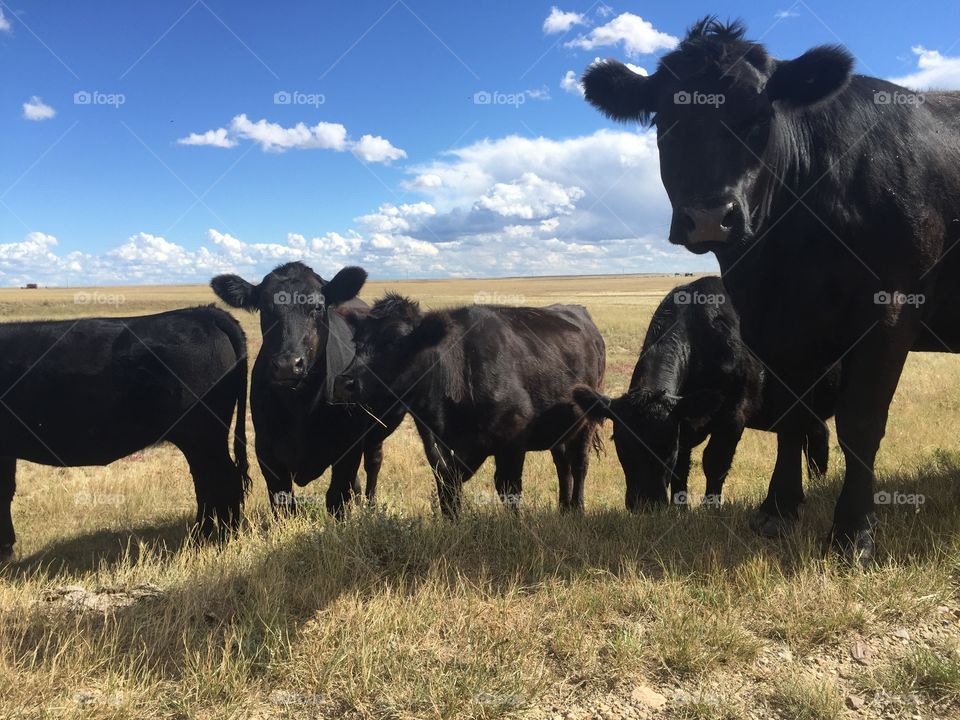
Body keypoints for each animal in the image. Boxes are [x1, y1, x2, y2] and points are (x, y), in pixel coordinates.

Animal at [0, 306, 249, 559]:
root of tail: (204, 313)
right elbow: (6, 490)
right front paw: (6, 547)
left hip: (202, 435)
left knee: (222, 480)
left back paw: (223, 539)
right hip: (200, 439)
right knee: (207, 482)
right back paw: (204, 538)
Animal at [210, 263, 403, 516]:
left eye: (318, 306)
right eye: (265, 308)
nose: (287, 365)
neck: (301, 406)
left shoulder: (348, 448)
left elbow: (337, 498)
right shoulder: (267, 452)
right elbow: (283, 504)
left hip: (376, 430)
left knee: (373, 462)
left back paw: (370, 506)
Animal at [332, 294, 606, 516]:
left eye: (396, 342)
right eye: (357, 341)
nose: (345, 382)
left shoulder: (513, 435)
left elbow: (508, 488)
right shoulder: (437, 443)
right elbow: (447, 486)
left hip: (588, 418)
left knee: (579, 462)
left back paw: (577, 508)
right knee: (562, 461)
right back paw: (563, 508)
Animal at [573, 276, 838, 523]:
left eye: (667, 447)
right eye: (621, 444)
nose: (646, 504)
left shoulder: (734, 413)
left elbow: (715, 461)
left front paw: (711, 508)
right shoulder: (683, 422)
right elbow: (682, 468)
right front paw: (680, 508)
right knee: (818, 438)